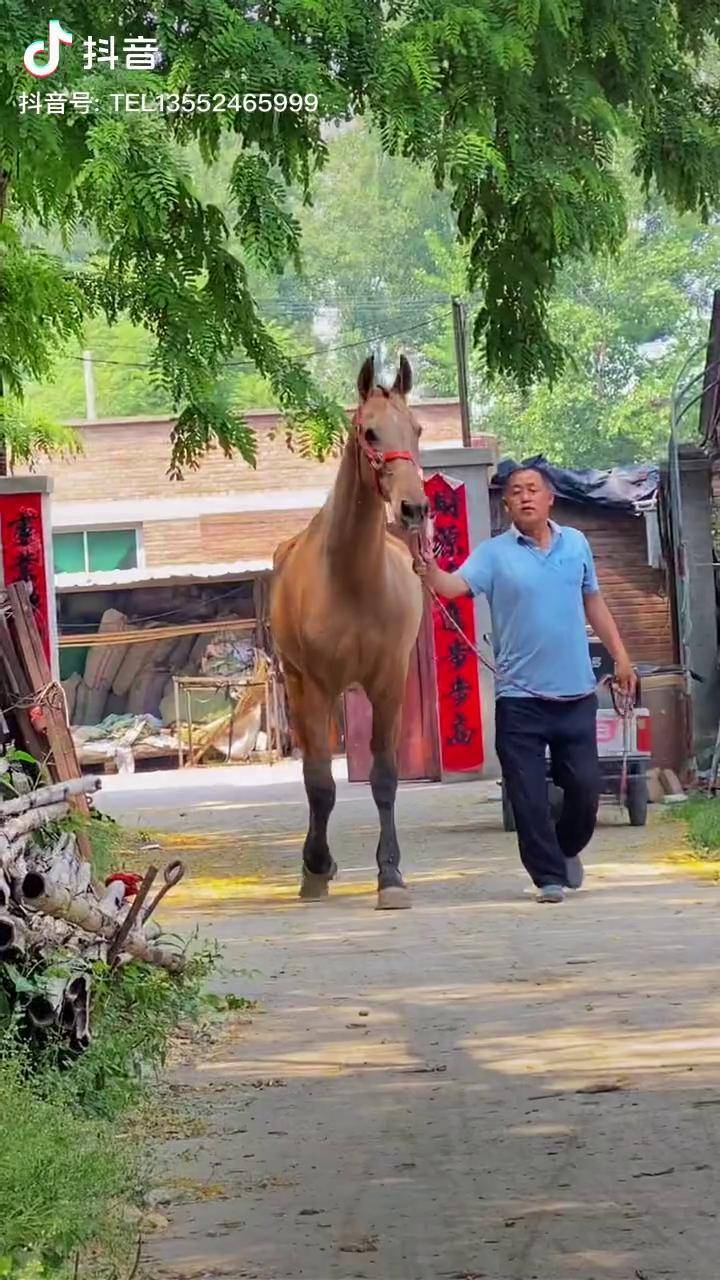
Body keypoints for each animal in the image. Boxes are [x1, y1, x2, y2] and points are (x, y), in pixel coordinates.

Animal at [270, 354, 429, 909]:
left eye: (417, 429)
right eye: (370, 431)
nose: (414, 509)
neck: (354, 581)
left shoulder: (388, 683)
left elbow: (384, 777)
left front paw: (391, 875)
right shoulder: (316, 685)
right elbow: (320, 782)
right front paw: (316, 867)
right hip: (300, 687)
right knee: (313, 771)